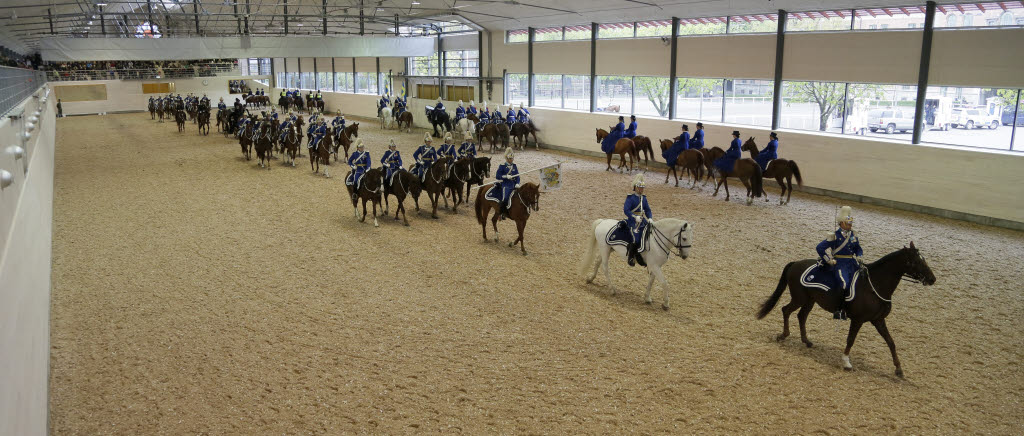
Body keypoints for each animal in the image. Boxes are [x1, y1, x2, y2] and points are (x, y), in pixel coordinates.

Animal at [753, 243, 937, 376]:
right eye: (916, 261)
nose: (932, 279)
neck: (875, 285)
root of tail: (796, 263)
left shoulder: (878, 320)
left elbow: (891, 342)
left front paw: (898, 369)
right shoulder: (858, 320)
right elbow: (851, 340)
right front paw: (846, 362)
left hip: (810, 300)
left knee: (801, 316)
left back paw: (806, 341)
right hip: (800, 298)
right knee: (786, 310)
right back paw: (783, 335)